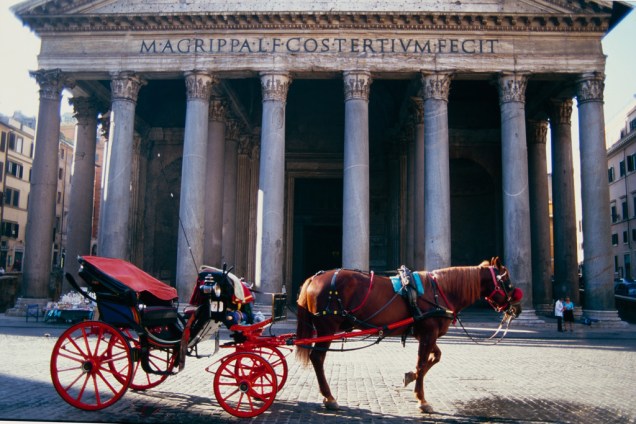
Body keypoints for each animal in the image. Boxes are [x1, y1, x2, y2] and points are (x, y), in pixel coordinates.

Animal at [296, 256, 520, 412]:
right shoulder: (429, 332)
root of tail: (314, 278)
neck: (440, 290)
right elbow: (422, 363)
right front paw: (422, 400)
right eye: (507, 281)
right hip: (326, 327)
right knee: (317, 358)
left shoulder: (426, 333)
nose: (517, 308)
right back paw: (329, 397)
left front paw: (410, 377)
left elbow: (435, 357)